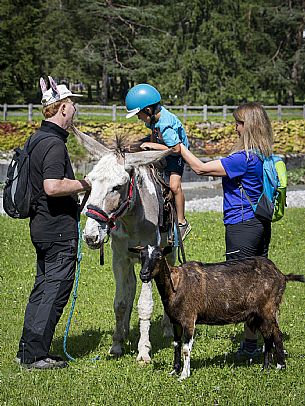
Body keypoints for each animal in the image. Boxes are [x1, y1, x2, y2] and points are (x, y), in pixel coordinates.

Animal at [129, 244, 302, 380]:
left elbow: (186, 348)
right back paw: (265, 368)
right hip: (258, 314)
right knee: (267, 338)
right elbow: (176, 345)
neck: (175, 284)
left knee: (277, 335)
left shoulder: (189, 319)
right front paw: (174, 370)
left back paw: (280, 366)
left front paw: (184, 375)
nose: (144, 274)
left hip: (268, 309)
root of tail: (282, 275)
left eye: (158, 256)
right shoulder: (175, 321)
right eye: (141, 256)